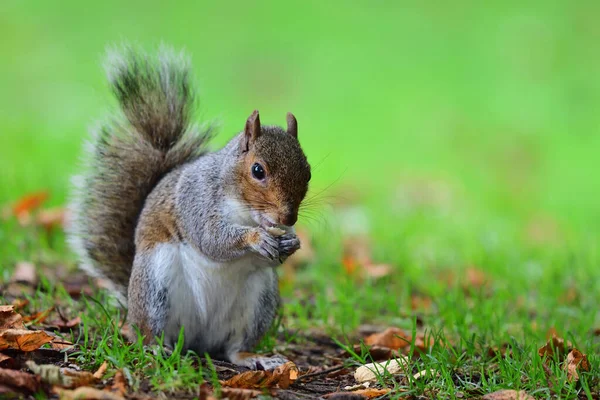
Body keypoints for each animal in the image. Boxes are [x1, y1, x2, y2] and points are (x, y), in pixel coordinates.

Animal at [66, 46, 312, 368]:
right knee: (149, 332)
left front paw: (292, 242)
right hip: (155, 285)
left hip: (259, 301)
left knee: (234, 348)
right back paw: (157, 348)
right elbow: (211, 238)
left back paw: (255, 357)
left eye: (308, 172)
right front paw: (256, 238)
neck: (246, 211)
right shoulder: (196, 200)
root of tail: (199, 341)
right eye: (258, 170)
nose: (288, 216)